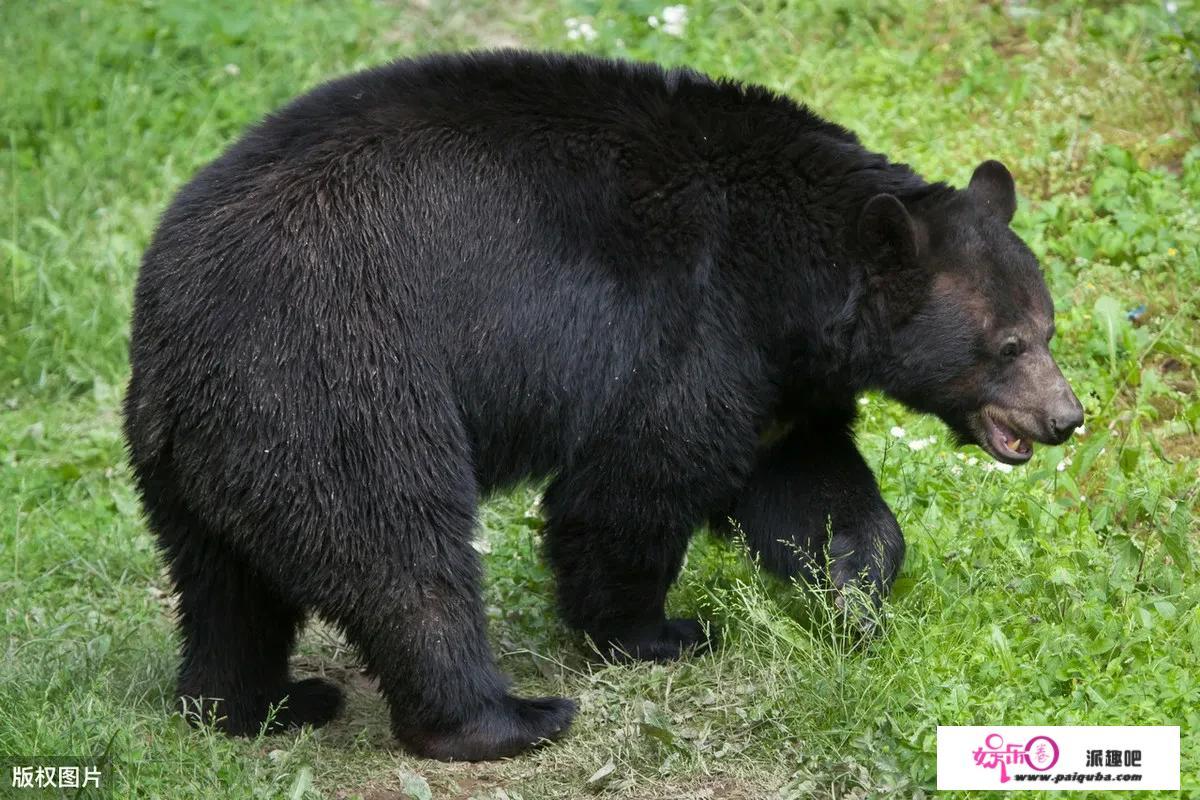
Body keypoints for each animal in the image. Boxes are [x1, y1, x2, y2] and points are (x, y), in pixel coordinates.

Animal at [126, 51, 1084, 762]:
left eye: (1048, 325)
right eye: (1008, 345)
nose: (1065, 418)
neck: (794, 278)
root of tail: (174, 342)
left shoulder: (777, 378)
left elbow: (805, 483)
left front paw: (852, 593)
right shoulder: (691, 323)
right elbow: (638, 479)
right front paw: (654, 631)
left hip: (208, 454)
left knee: (226, 587)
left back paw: (258, 704)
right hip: (338, 382)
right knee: (400, 552)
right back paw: (503, 718)